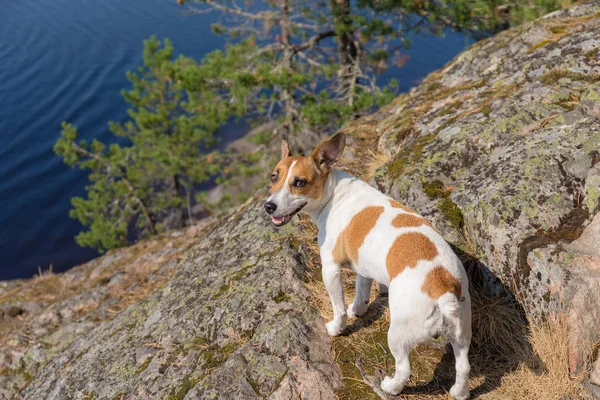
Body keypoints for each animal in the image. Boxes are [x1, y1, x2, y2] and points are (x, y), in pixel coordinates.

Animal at [264, 133, 472, 398]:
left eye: (299, 182)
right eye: (274, 176)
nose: (268, 206)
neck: (333, 193)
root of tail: (442, 288)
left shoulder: (330, 269)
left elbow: (339, 308)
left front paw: (337, 327)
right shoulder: (363, 267)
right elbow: (361, 290)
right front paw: (359, 309)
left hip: (398, 335)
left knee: (404, 368)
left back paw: (390, 386)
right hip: (462, 333)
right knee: (463, 366)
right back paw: (459, 392)